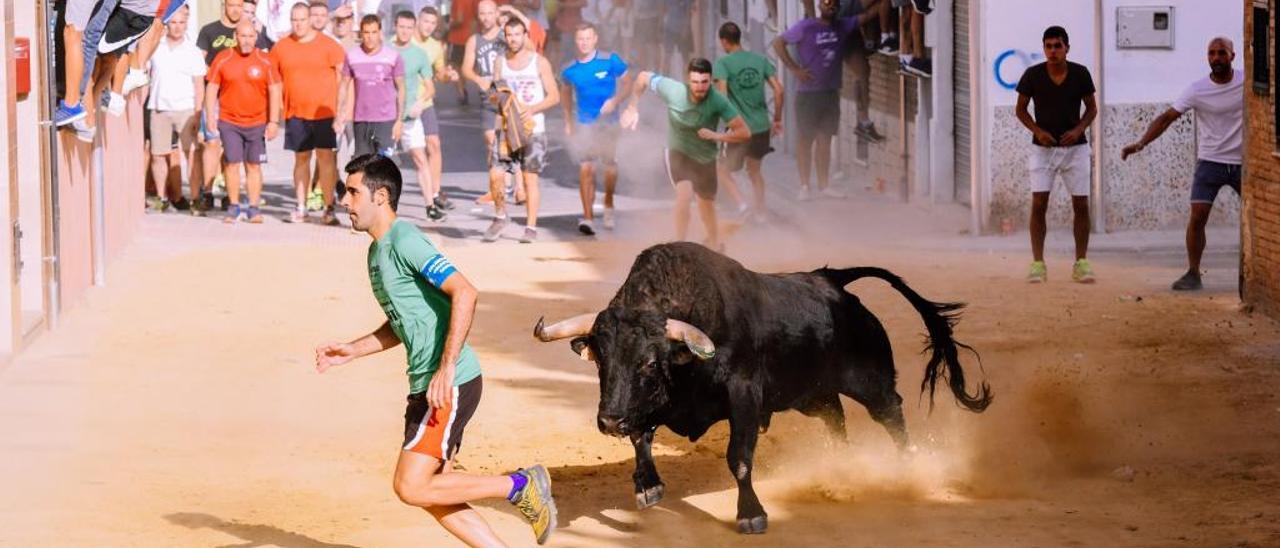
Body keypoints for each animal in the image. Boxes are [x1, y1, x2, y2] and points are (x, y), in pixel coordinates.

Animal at [529, 241, 988, 532]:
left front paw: (750, 515)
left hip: (869, 381)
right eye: (602, 361)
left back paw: (908, 466)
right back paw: (840, 469)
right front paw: (648, 486)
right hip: (810, 394)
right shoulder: (652, 404)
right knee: (836, 418)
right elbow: (641, 436)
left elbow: (740, 458)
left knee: (891, 412)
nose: (608, 421)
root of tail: (832, 282)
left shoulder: (745, 397)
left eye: (649, 362)